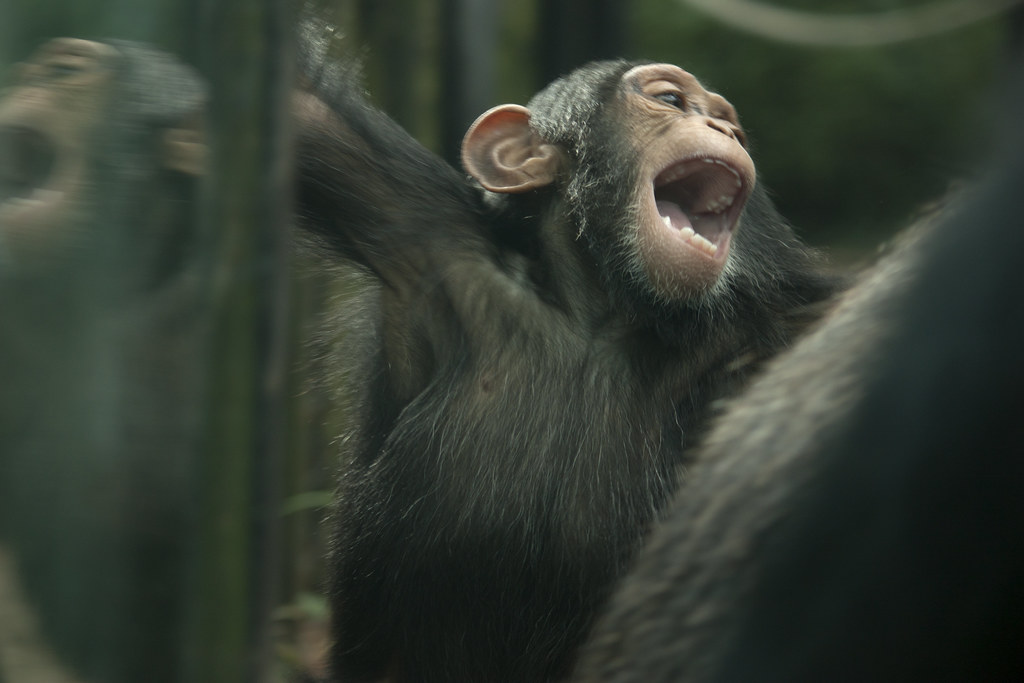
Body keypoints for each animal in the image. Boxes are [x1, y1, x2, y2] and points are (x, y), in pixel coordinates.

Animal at [295, 27, 843, 683]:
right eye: (670, 100)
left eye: (726, 120)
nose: (725, 130)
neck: (601, 312)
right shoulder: (419, 233)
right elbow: (304, 111)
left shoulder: (778, 330)